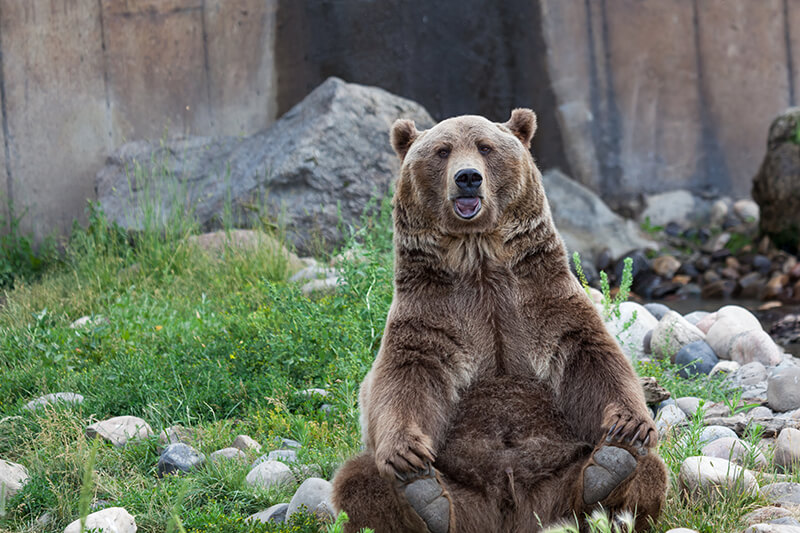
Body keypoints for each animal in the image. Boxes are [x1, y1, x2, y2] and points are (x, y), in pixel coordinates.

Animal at [332, 109, 668, 532]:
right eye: (442, 151)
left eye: (485, 146)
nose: (467, 177)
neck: (479, 258)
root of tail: (512, 514)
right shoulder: (432, 313)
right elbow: (406, 377)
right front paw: (405, 454)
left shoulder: (542, 300)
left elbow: (592, 357)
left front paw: (630, 425)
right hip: (466, 491)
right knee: (358, 480)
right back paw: (426, 499)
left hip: (554, 482)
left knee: (649, 469)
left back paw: (608, 468)